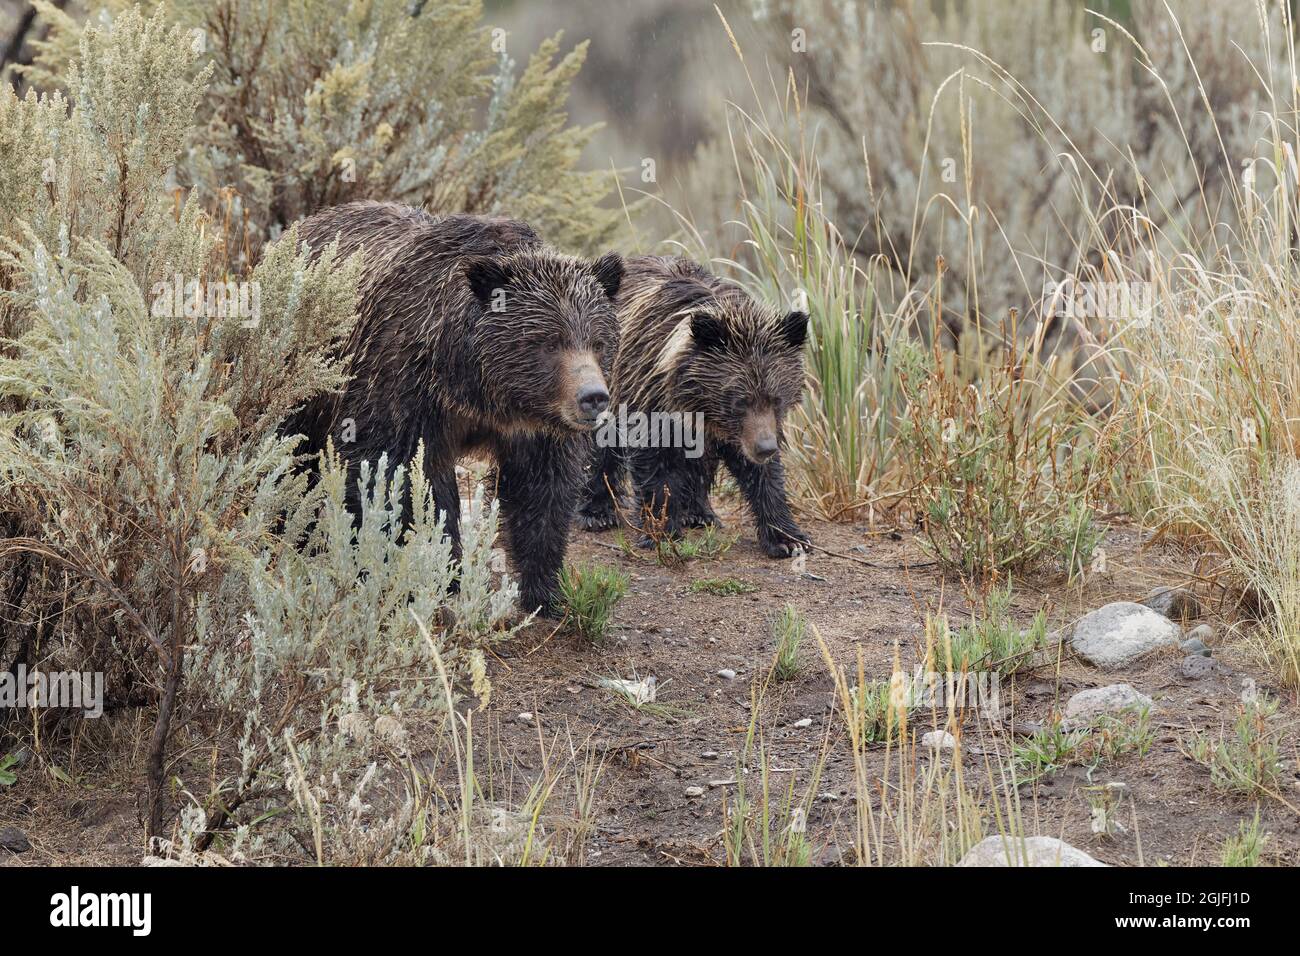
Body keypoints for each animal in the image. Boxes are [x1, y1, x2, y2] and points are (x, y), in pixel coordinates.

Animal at [287, 201, 623, 616]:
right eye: (548, 342)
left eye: (598, 341)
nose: (593, 396)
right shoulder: (402, 388)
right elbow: (395, 474)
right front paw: (436, 571)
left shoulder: (537, 428)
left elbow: (542, 491)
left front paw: (543, 589)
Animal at [576, 255, 811, 558]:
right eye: (739, 399)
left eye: (776, 398)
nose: (764, 448)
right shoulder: (651, 398)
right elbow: (656, 465)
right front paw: (662, 530)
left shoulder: (745, 429)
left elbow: (763, 476)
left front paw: (787, 537)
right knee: (600, 447)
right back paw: (597, 511)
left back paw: (699, 512)